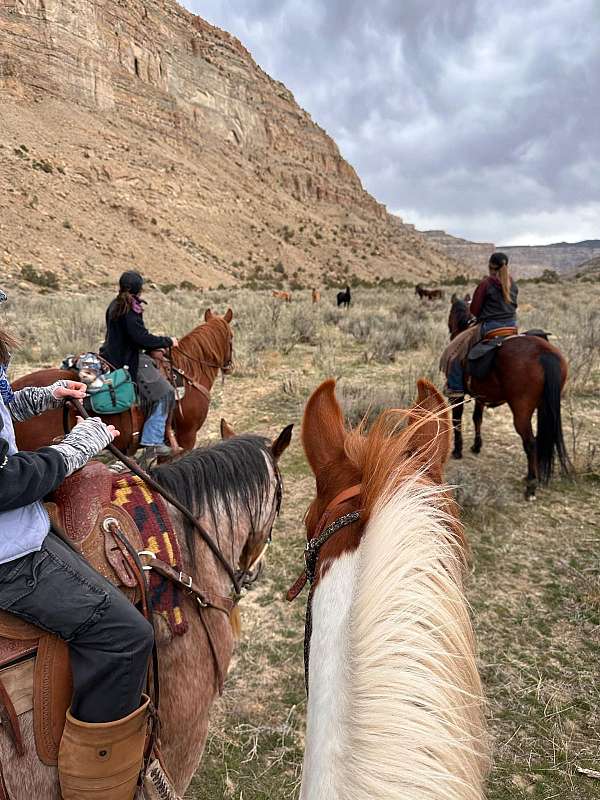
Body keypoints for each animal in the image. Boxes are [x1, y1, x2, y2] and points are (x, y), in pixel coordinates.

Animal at [448, 296, 568, 496]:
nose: (451, 329)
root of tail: (545, 353)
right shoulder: (481, 395)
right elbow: (477, 418)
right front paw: (476, 446)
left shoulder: (457, 395)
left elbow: (457, 419)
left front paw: (457, 451)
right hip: (544, 406)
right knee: (539, 440)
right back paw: (531, 476)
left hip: (521, 410)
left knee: (530, 442)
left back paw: (531, 485)